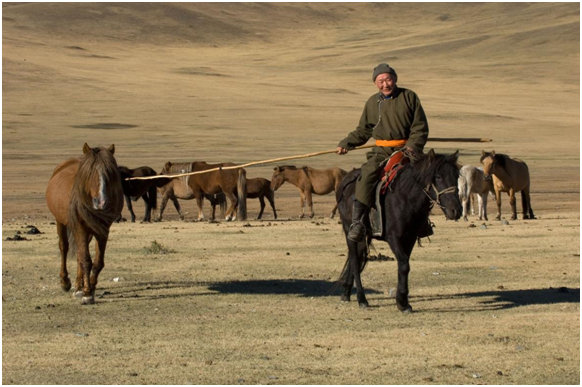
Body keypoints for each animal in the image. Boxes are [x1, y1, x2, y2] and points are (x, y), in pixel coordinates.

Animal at [46, 144, 124, 304]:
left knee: (79, 254)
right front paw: (87, 293)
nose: (101, 202)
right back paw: (65, 282)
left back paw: (78, 286)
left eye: (109, 173)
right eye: (89, 172)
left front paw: (90, 288)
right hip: (61, 222)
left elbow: (97, 261)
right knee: (64, 247)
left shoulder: (102, 230)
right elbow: (86, 259)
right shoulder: (80, 227)